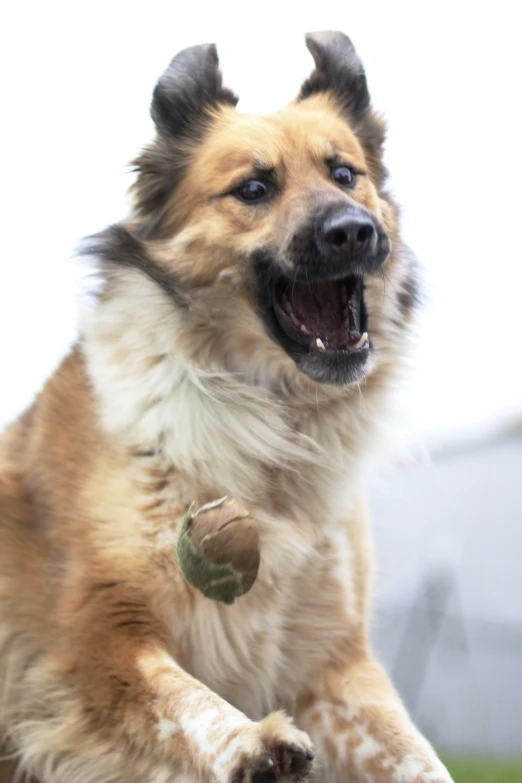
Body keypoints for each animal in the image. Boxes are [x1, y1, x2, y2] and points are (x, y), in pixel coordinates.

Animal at [0, 32, 450, 783]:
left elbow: (416, 757)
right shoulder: (93, 637)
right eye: (254, 189)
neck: (274, 422)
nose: (354, 232)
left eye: (345, 174)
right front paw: (251, 744)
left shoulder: (334, 659)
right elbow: (179, 700)